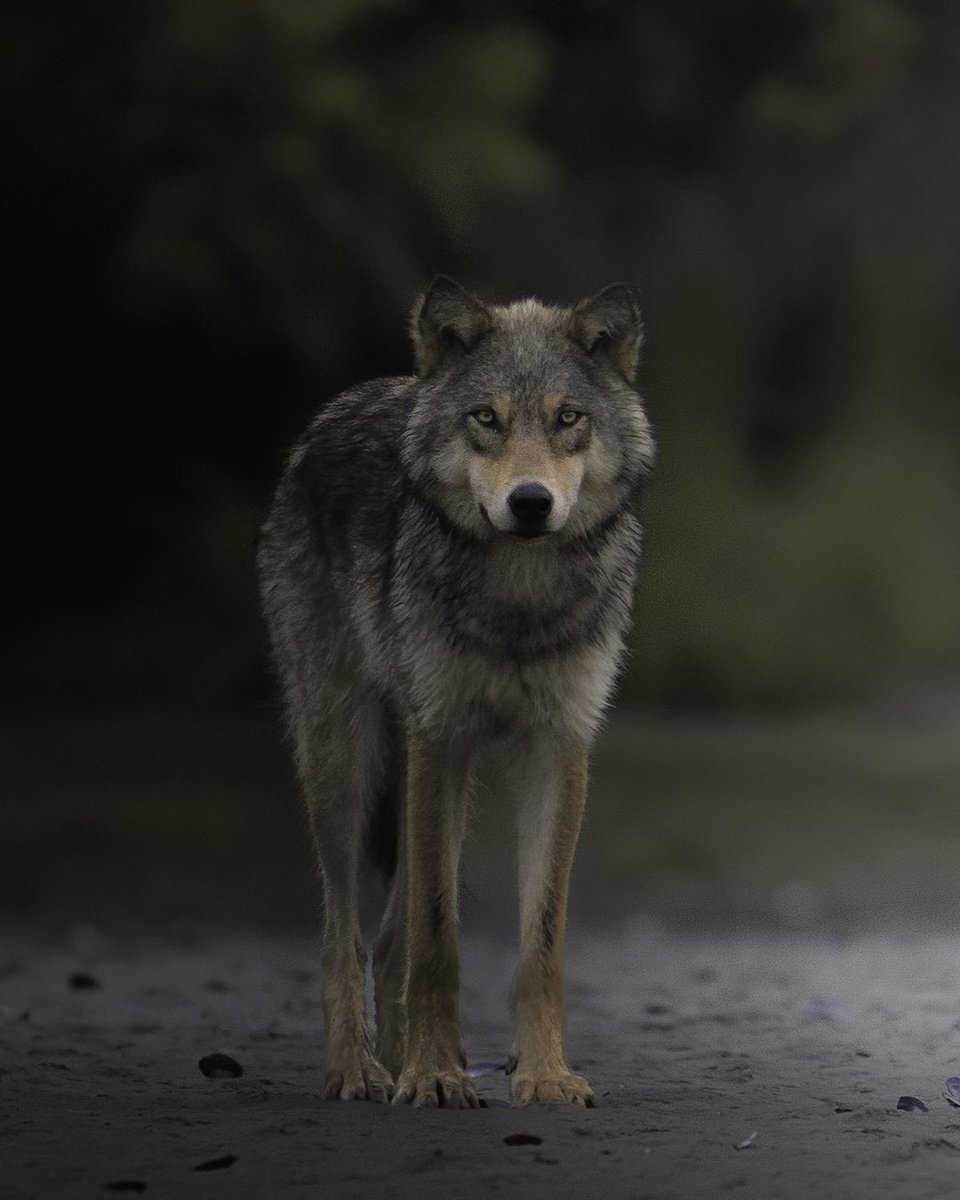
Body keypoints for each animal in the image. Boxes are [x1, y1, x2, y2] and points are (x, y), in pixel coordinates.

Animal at [257, 277, 654, 1107]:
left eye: (568, 419)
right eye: (486, 419)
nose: (530, 502)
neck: (517, 602)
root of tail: (339, 408)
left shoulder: (558, 749)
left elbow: (540, 943)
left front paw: (542, 1075)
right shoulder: (438, 735)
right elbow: (438, 938)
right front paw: (436, 1075)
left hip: (436, 781)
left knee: (387, 941)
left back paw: (399, 1060)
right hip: (348, 763)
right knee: (343, 934)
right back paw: (360, 1069)